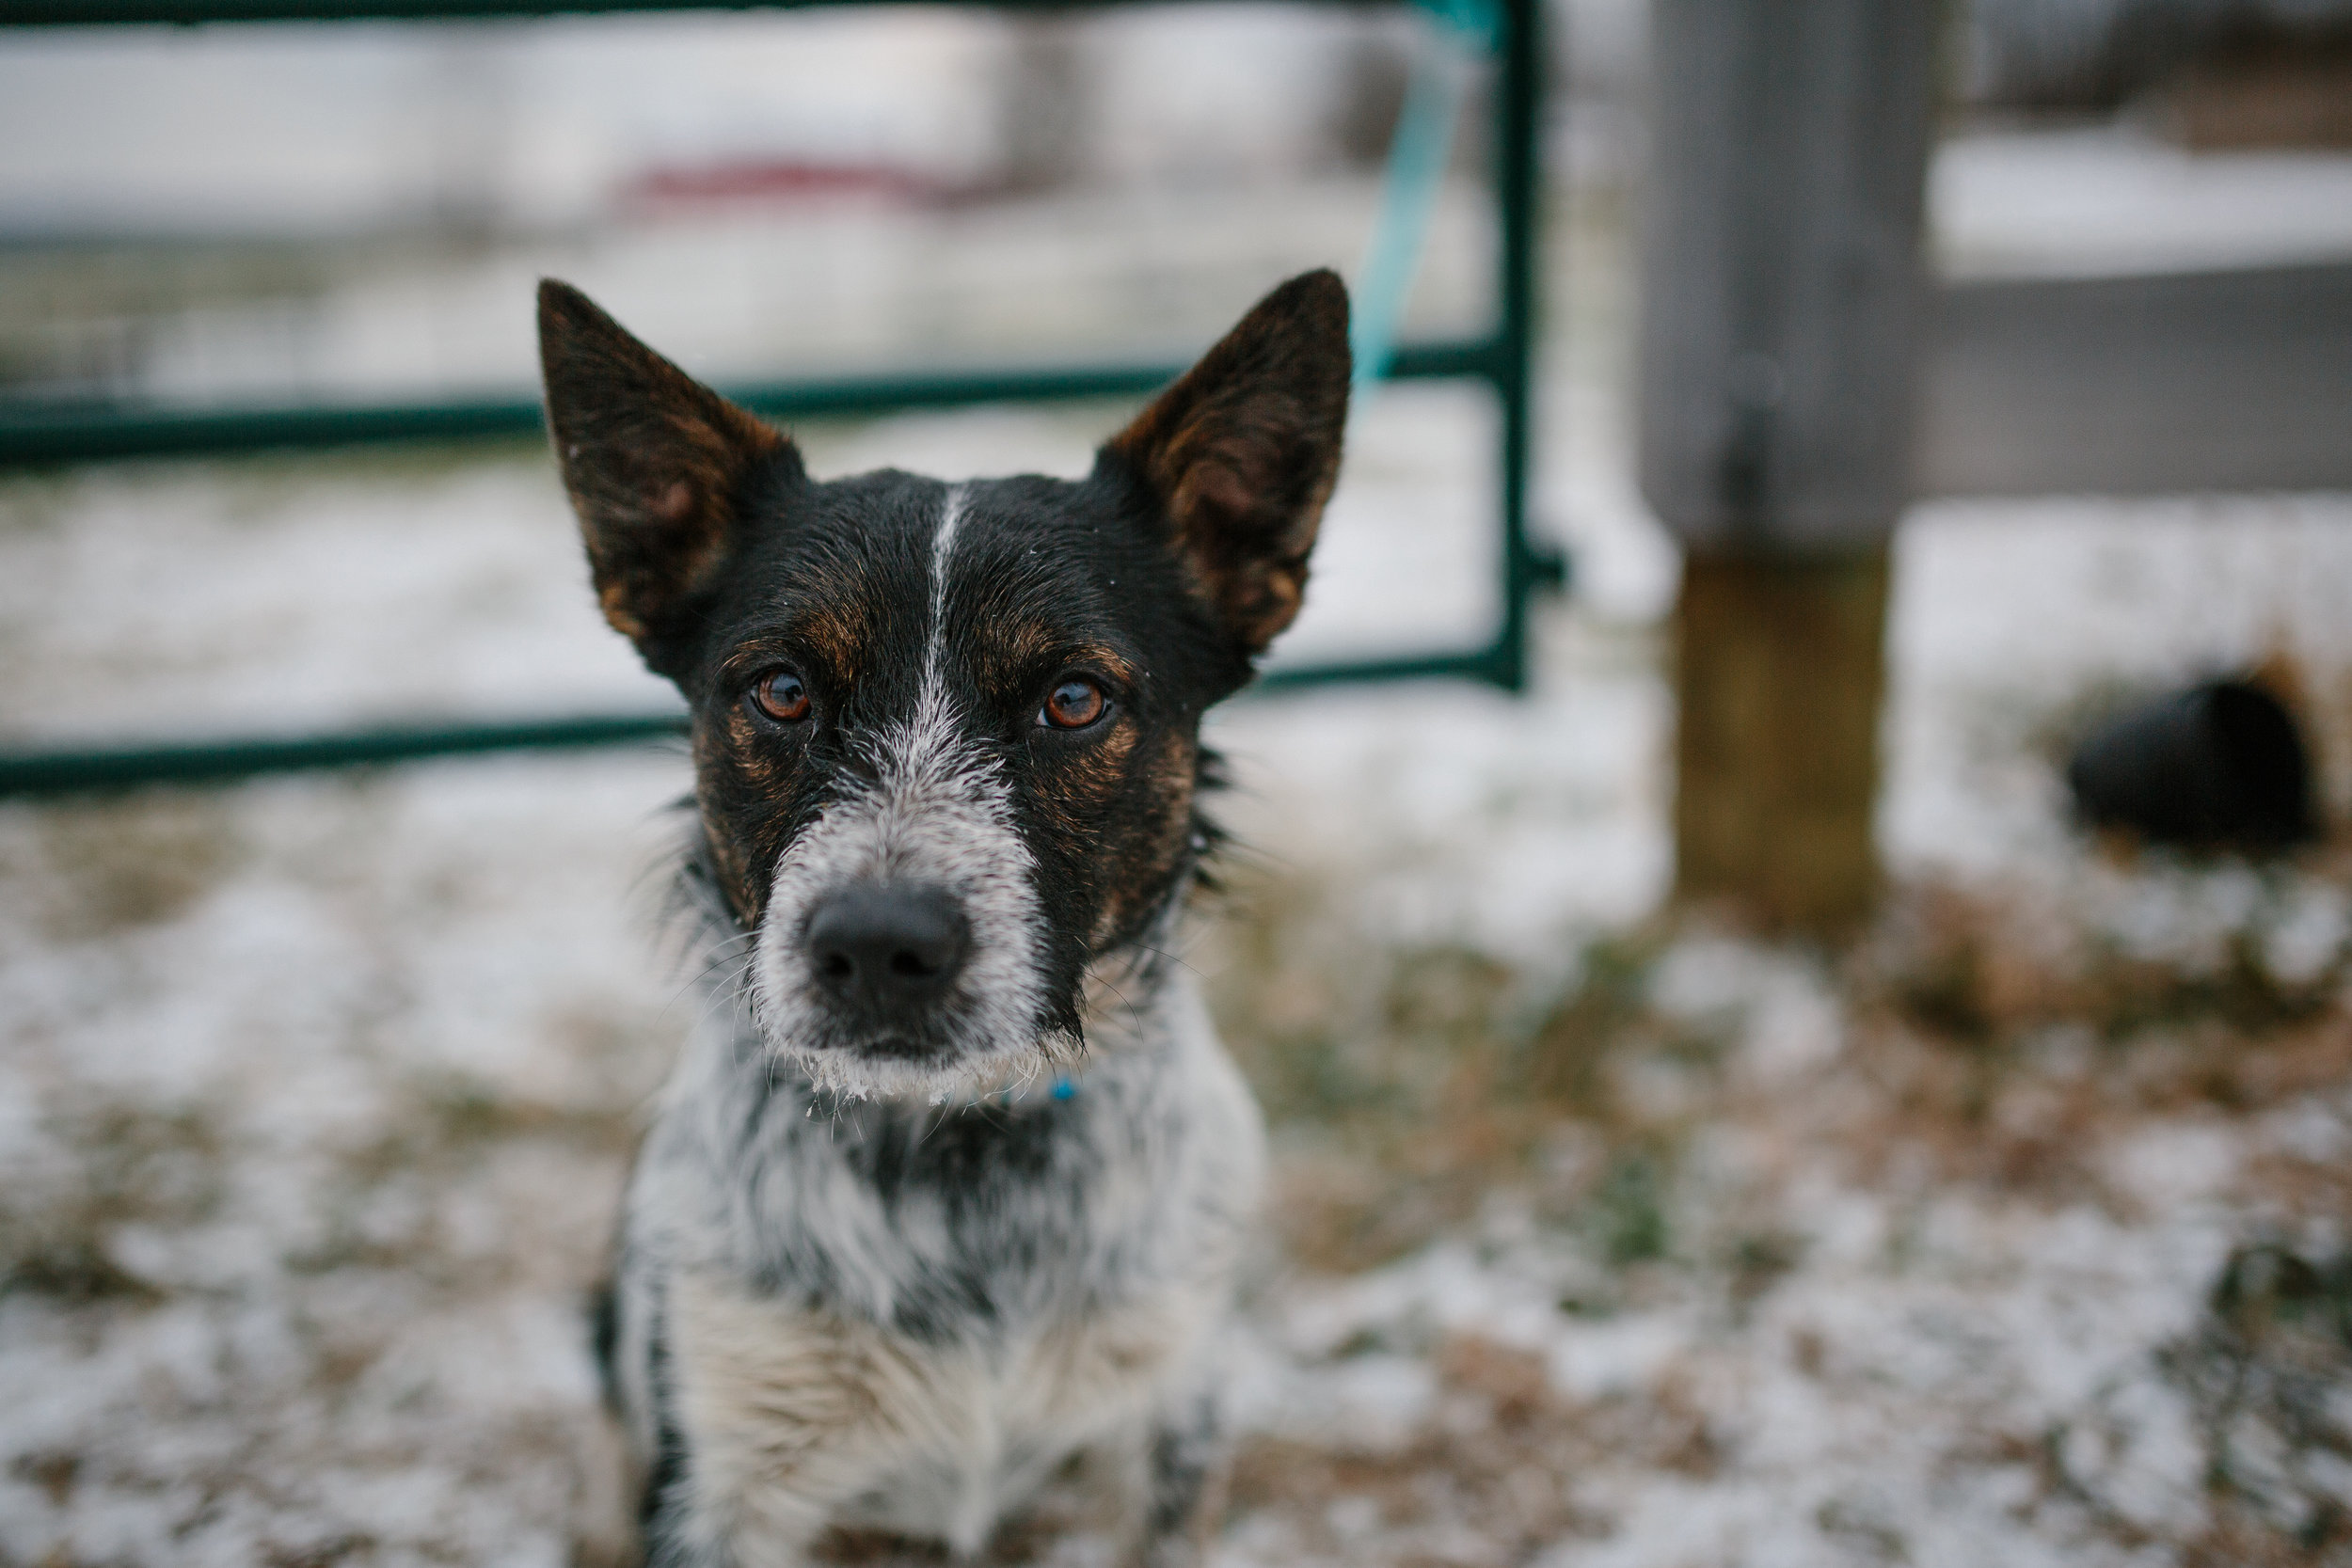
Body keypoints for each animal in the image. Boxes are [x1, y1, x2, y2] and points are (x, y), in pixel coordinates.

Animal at [533, 272, 1345, 1568]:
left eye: (1074, 698)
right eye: (781, 690)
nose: (876, 946)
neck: (956, 1149)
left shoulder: (1169, 1427)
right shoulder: (718, 1475)